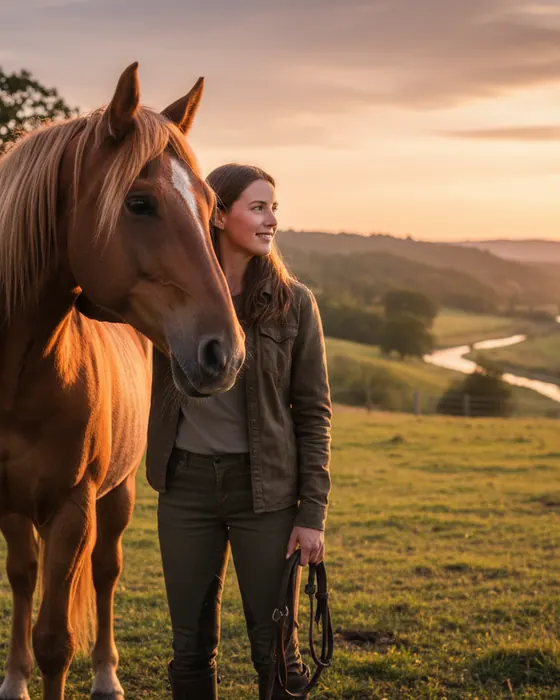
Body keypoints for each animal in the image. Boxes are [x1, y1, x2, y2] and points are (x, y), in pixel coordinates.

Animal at [0, 63, 245, 700]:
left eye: (211, 204)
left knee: (106, 573)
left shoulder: (73, 510)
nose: (226, 352)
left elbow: (56, 641)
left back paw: (107, 676)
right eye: (139, 202)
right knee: (25, 575)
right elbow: (26, 587)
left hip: (117, 496)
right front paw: (16, 678)